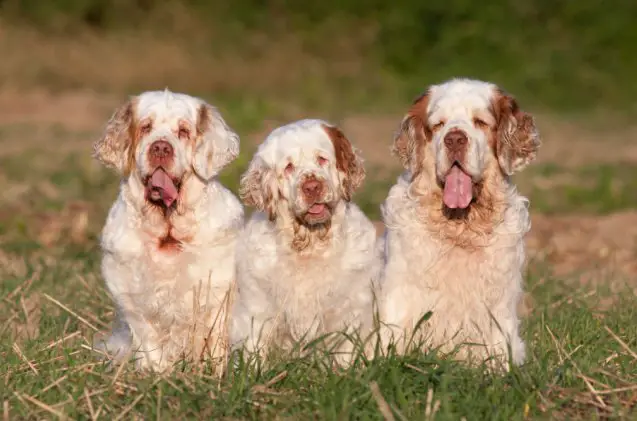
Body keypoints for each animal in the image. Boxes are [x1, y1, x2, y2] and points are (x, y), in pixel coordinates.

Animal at [230, 119, 382, 364]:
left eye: (322, 159)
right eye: (289, 167)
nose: (312, 187)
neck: (310, 247)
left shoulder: (350, 314)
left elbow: (345, 355)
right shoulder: (256, 312)